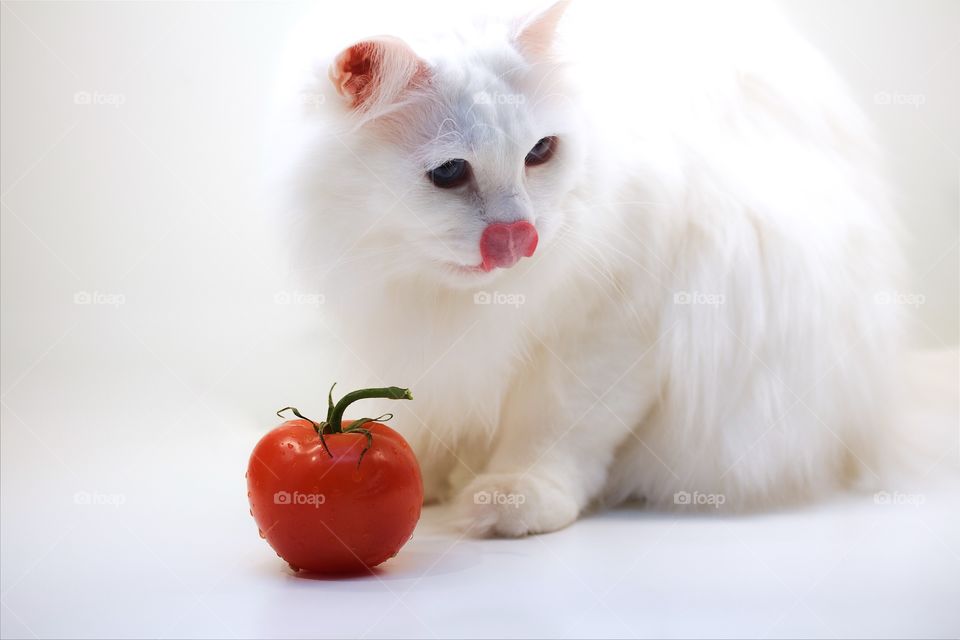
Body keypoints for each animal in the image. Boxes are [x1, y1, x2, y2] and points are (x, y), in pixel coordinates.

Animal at [266, 2, 904, 536]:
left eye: (540, 153)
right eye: (448, 173)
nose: (519, 239)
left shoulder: (617, 320)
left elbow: (558, 427)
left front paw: (512, 497)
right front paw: (410, 470)